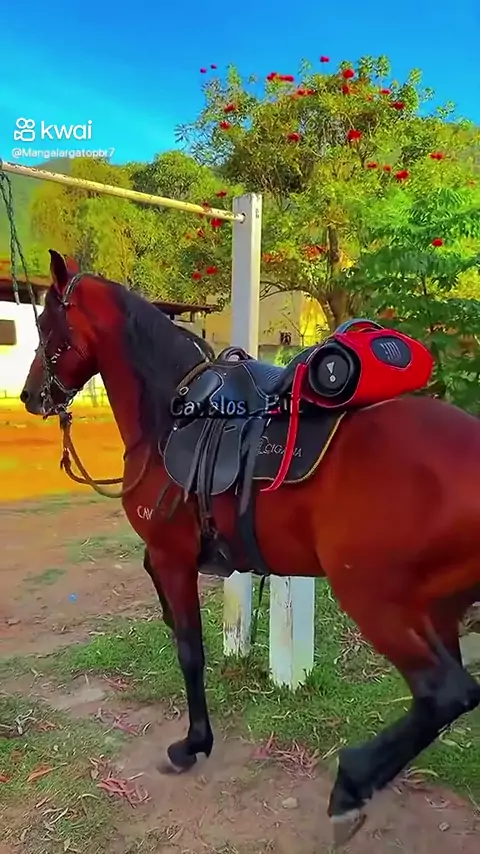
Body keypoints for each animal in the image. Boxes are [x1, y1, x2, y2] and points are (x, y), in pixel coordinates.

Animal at [20, 250, 480, 847]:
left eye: (45, 324)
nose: (31, 396)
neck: (172, 415)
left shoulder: (171, 560)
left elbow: (190, 651)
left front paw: (194, 742)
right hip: (437, 607)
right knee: (451, 697)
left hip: (376, 601)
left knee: (444, 691)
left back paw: (351, 784)